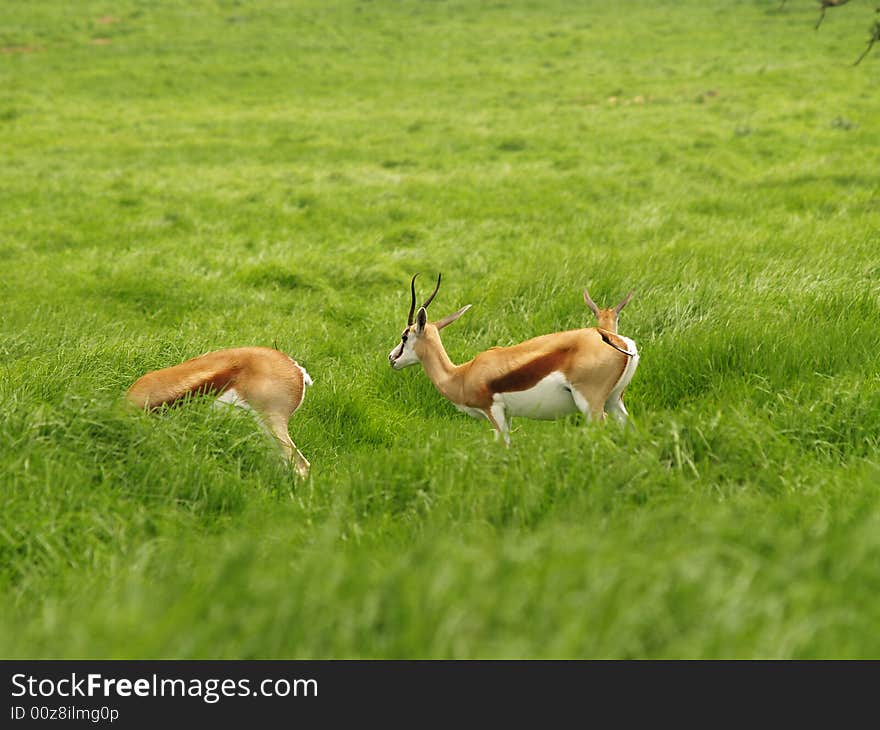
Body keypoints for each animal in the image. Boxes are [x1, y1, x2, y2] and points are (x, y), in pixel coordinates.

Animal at [384, 274, 640, 440]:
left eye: (404, 336)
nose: (391, 358)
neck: (462, 374)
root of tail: (616, 340)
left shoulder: (494, 412)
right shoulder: (507, 415)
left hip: (591, 405)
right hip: (614, 401)